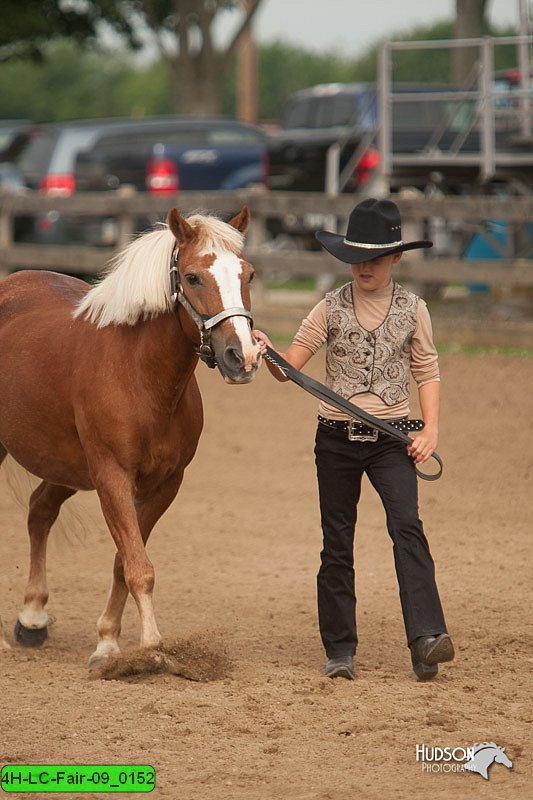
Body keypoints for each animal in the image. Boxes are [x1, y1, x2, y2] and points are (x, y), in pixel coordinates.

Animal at [0, 205, 260, 664]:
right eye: (192, 277)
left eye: (247, 275)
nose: (241, 356)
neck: (139, 374)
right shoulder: (112, 477)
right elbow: (139, 566)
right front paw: (151, 647)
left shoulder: (163, 485)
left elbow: (126, 561)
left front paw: (108, 642)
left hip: (64, 465)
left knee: (39, 511)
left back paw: (32, 619)